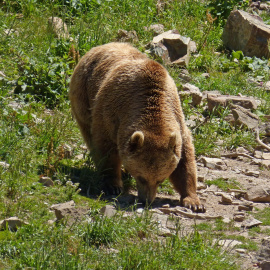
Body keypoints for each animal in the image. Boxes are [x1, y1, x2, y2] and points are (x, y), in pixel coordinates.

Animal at [69, 41, 205, 213]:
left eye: (160, 179)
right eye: (141, 177)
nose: (147, 200)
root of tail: (101, 46)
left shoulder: (178, 122)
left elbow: (185, 160)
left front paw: (194, 201)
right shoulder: (110, 114)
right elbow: (106, 147)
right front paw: (113, 185)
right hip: (83, 93)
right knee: (88, 132)